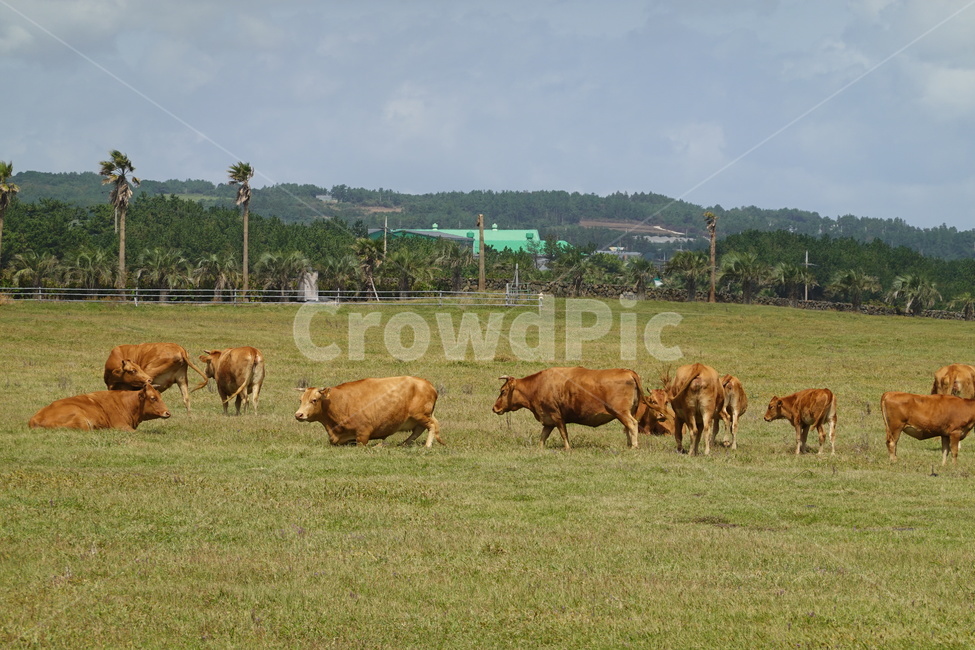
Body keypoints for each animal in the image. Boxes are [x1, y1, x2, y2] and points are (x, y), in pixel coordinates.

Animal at [294, 376, 443, 447]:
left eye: (314, 400)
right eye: (300, 400)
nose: (299, 414)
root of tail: (428, 384)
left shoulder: (363, 433)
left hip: (420, 415)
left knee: (431, 426)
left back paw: (427, 445)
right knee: (418, 430)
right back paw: (403, 444)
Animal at [492, 367, 648, 449]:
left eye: (503, 391)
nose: (494, 408)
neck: (538, 385)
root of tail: (628, 372)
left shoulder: (556, 416)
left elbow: (563, 433)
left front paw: (567, 448)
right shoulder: (548, 420)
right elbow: (543, 436)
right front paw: (540, 448)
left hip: (621, 413)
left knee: (632, 424)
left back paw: (633, 446)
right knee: (628, 427)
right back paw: (628, 445)